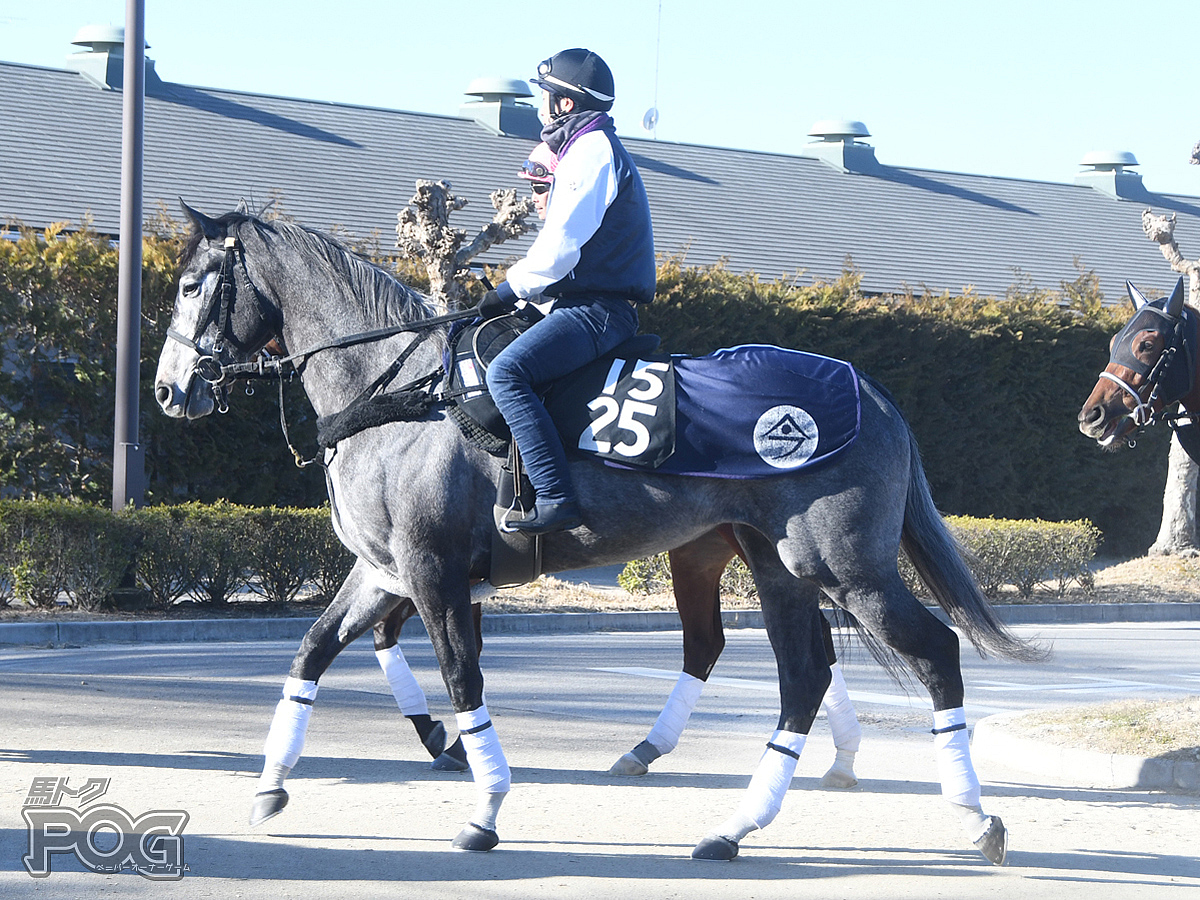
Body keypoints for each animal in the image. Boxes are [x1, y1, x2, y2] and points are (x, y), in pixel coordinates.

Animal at [157, 206, 1041, 868]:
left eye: (195, 285)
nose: (170, 390)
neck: (405, 394)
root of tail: (872, 393)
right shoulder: (382, 574)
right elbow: (310, 653)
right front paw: (272, 783)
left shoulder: (432, 573)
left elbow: (463, 681)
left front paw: (486, 805)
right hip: (778, 567)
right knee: (802, 675)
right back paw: (736, 825)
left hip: (844, 567)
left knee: (930, 652)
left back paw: (973, 816)